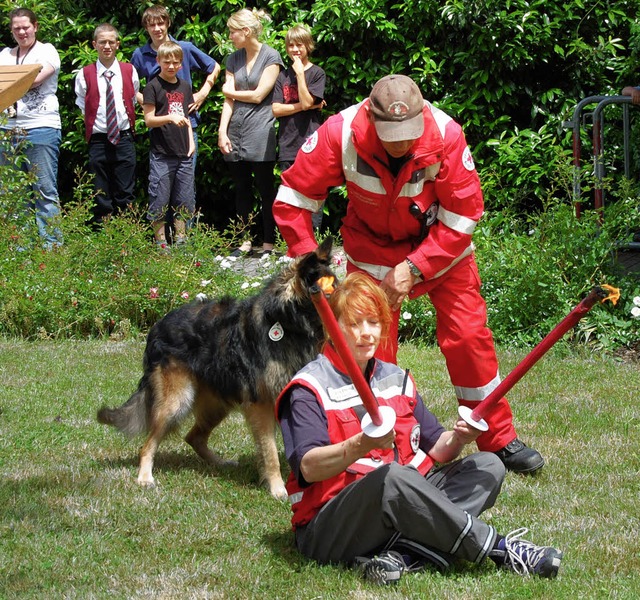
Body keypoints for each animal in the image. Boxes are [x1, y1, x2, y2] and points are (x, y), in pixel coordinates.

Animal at [98, 237, 338, 500]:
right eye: (329, 290)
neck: (288, 323)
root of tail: (158, 325)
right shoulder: (261, 405)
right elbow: (271, 453)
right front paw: (277, 488)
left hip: (217, 405)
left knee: (193, 437)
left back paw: (219, 463)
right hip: (177, 402)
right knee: (148, 445)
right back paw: (144, 477)